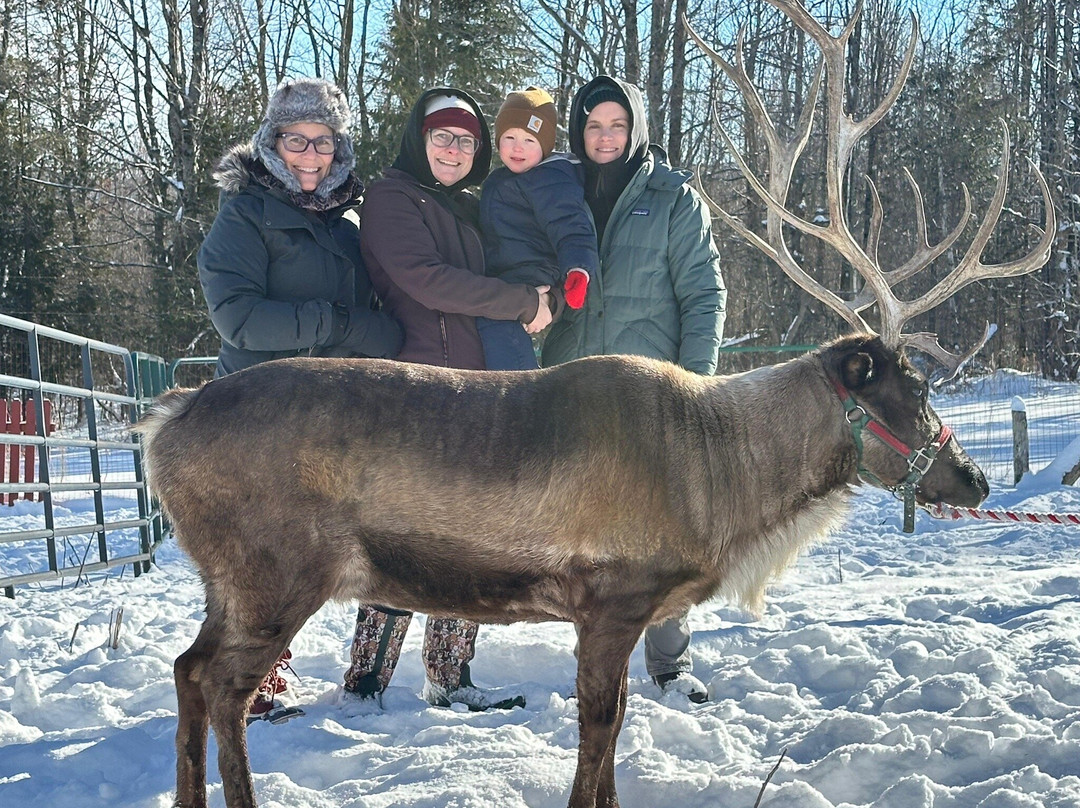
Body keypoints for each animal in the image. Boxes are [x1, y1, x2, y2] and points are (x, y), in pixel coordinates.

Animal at [135, 2, 1054, 807]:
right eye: (913, 387)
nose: (974, 478)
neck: (723, 484)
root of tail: (161, 422)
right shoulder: (611, 597)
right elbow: (600, 728)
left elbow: (614, 731)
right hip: (275, 570)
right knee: (220, 683)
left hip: (230, 581)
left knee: (186, 670)